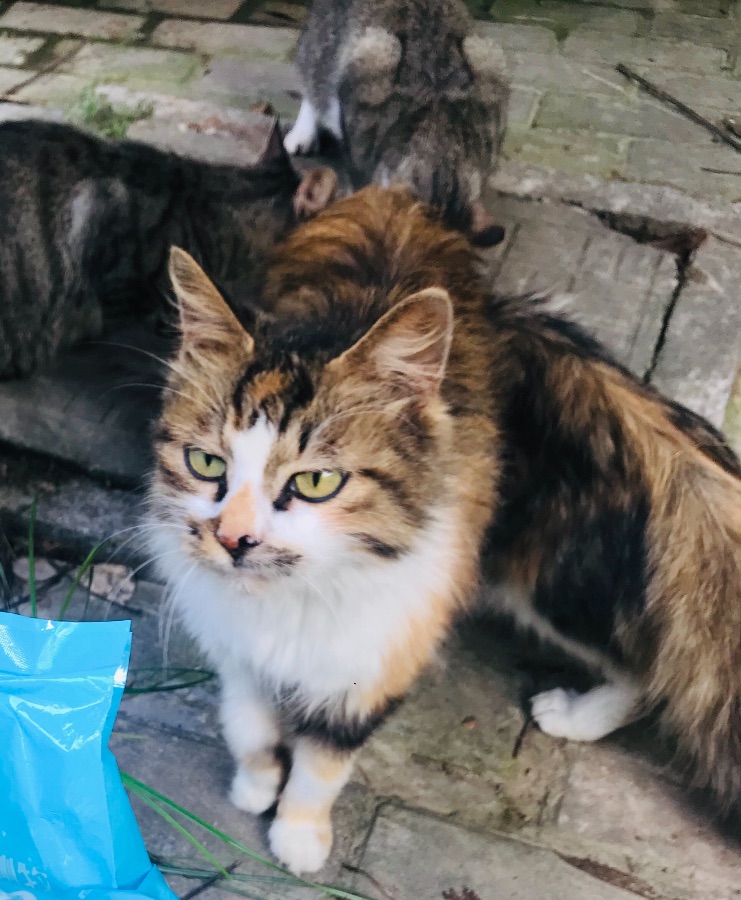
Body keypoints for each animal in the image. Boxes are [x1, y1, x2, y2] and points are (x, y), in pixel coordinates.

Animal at [149, 186, 741, 875]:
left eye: (317, 482)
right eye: (206, 464)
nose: (233, 540)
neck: (291, 600)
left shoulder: (383, 649)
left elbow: (323, 762)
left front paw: (299, 838)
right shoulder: (231, 640)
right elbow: (246, 722)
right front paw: (254, 784)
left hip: (544, 574)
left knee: (649, 664)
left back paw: (572, 714)